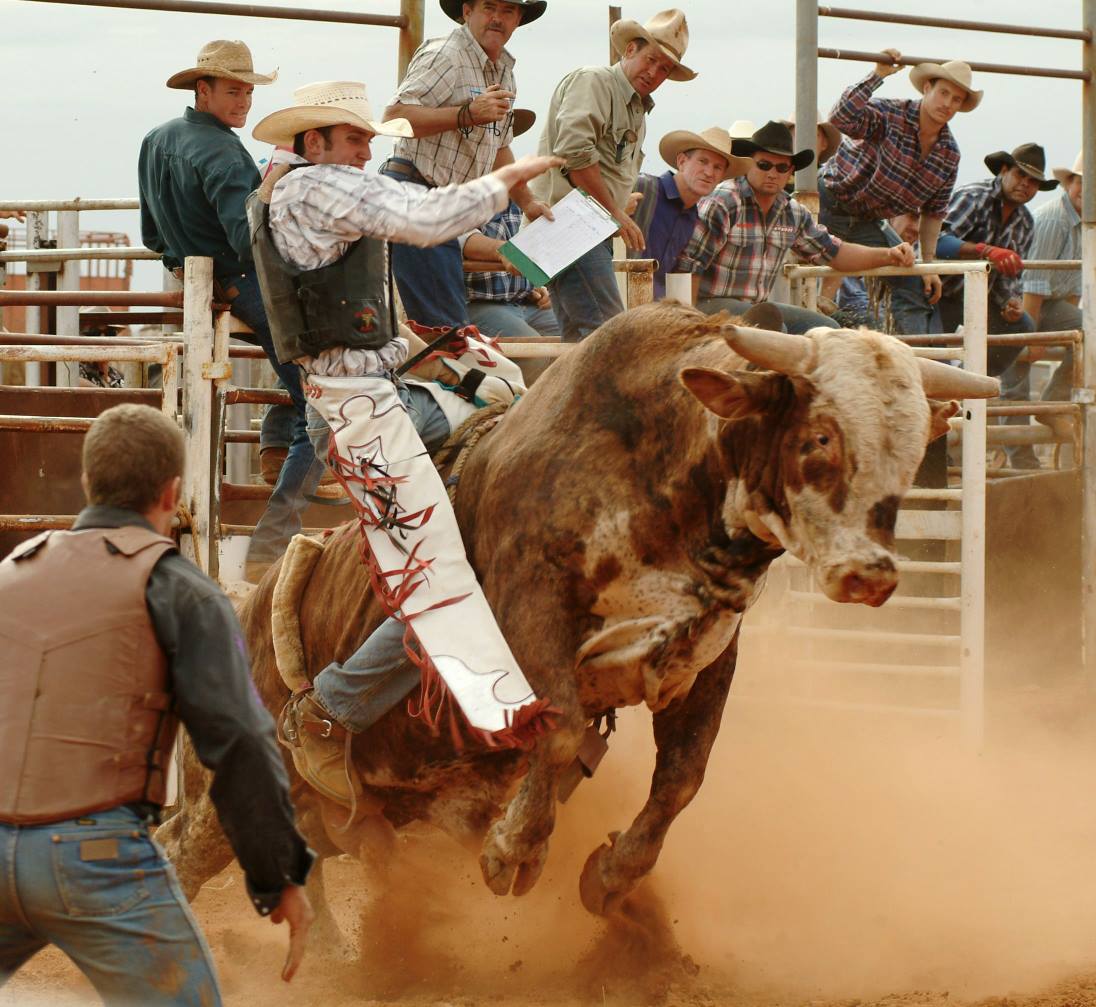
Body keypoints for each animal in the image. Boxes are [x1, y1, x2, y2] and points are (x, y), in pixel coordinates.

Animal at [158, 300, 999, 937]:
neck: (664, 474)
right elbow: (559, 729)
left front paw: (610, 874)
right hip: (236, 789)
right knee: (183, 846)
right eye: (819, 435)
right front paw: (514, 851)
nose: (871, 573)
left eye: (912, 450)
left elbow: (682, 777)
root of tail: (247, 600)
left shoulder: (704, 656)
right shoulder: (530, 610)